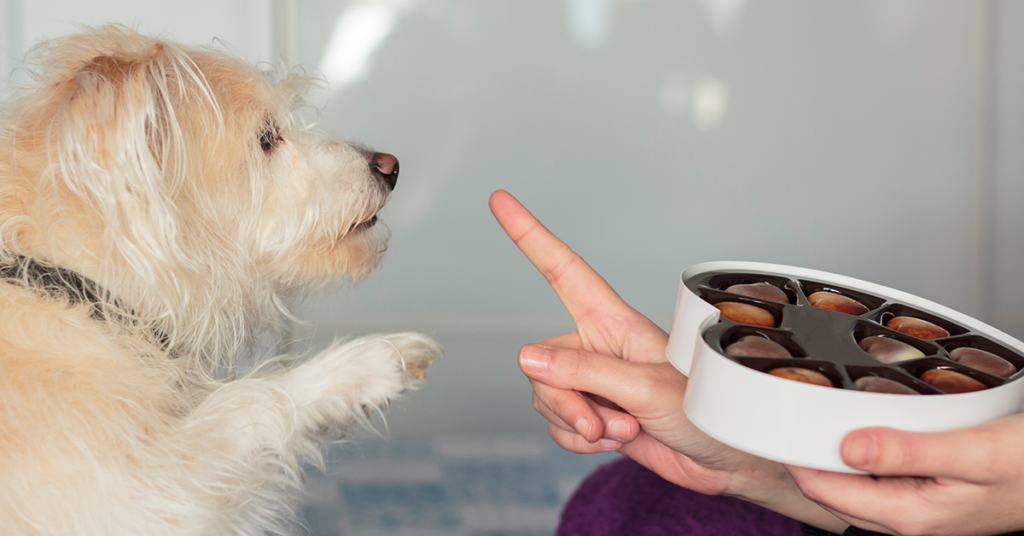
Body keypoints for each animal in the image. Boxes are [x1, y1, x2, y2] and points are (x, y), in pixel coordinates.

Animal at [0, 24, 436, 532]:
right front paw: (366, 363)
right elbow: (248, 400)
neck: (69, 281)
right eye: (266, 137)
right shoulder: (142, 498)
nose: (391, 166)